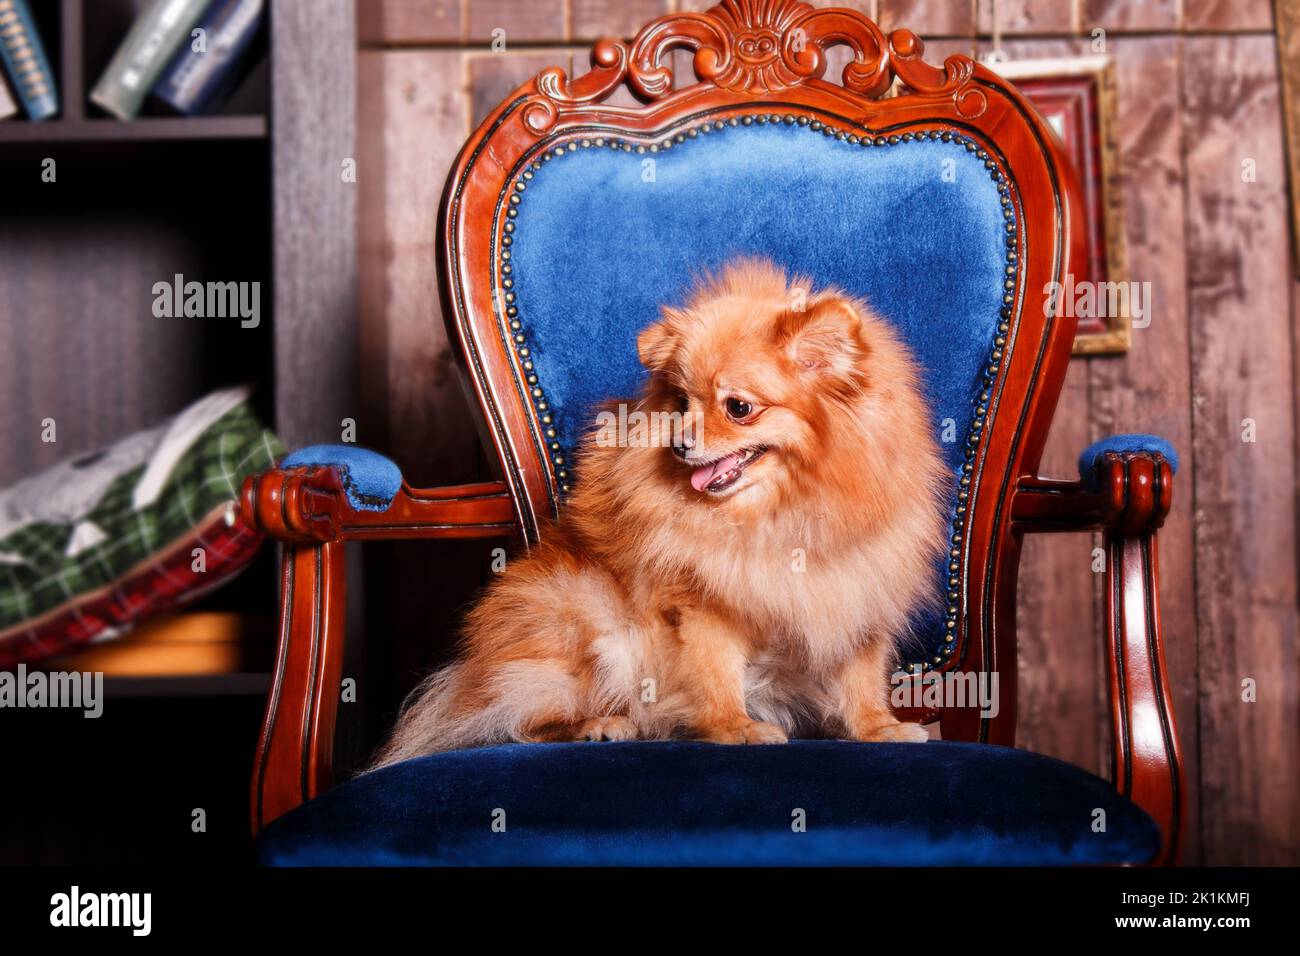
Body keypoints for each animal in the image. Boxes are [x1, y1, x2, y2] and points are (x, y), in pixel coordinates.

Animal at [371, 257, 951, 764]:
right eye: (681, 403)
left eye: (738, 407)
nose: (678, 445)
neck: (786, 510)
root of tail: (472, 674)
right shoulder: (703, 602)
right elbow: (716, 672)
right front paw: (735, 726)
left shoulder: (855, 588)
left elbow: (861, 673)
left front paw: (877, 728)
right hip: (579, 611)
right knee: (517, 717)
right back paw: (601, 723)